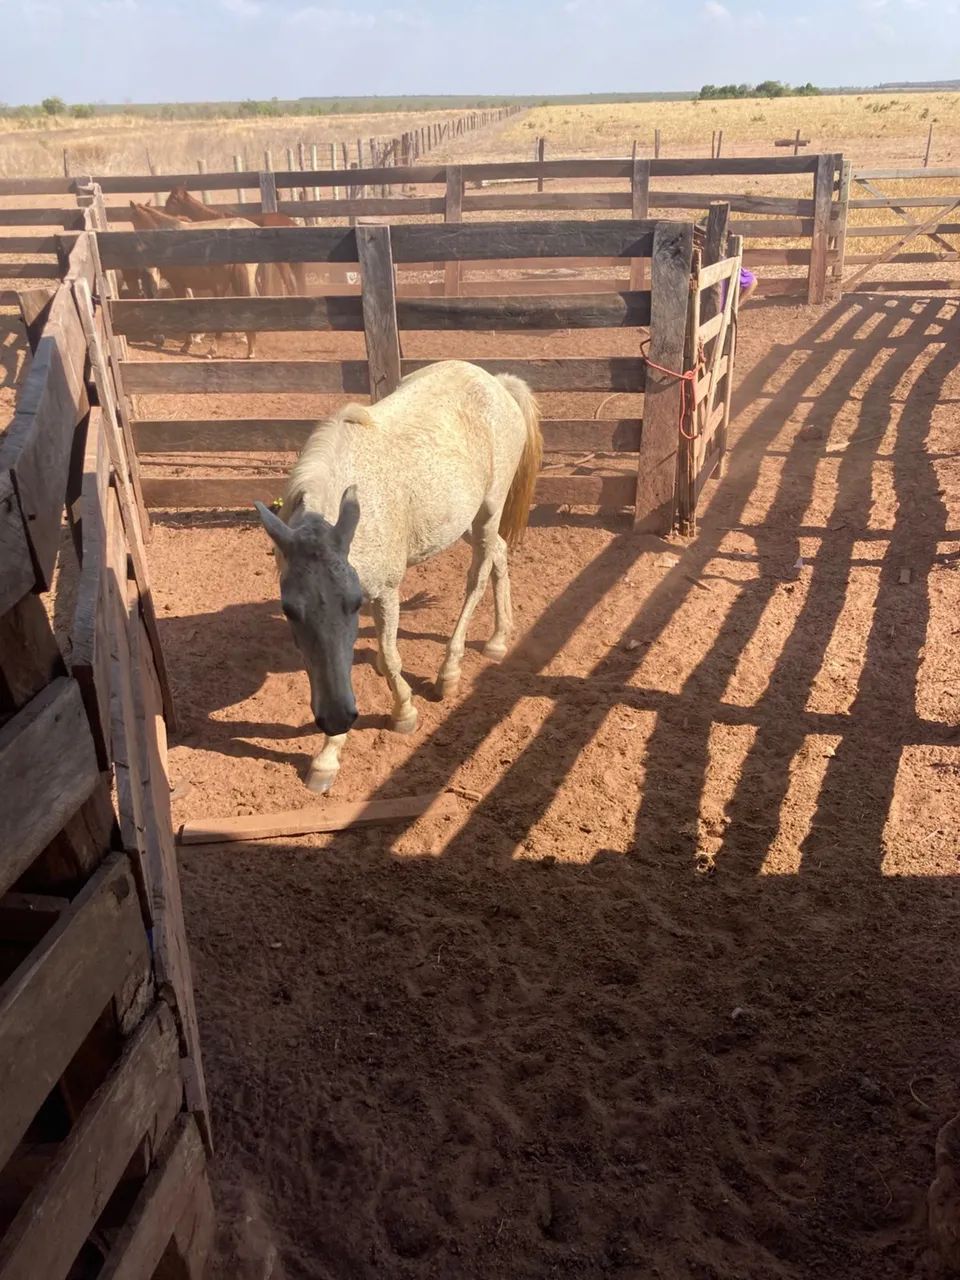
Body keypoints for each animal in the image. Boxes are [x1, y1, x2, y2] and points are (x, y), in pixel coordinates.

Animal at [127, 201, 261, 358]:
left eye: (133, 220)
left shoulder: (177, 284)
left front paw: (187, 344)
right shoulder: (184, 285)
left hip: (222, 286)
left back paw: (213, 350)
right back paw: (249, 348)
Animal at [254, 360, 543, 794]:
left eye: (354, 603)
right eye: (289, 610)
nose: (336, 719)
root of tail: (497, 382)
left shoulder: (386, 592)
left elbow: (391, 656)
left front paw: (402, 712)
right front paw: (327, 756)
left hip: (488, 511)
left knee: (477, 575)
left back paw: (449, 672)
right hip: (470, 520)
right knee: (499, 555)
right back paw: (497, 638)